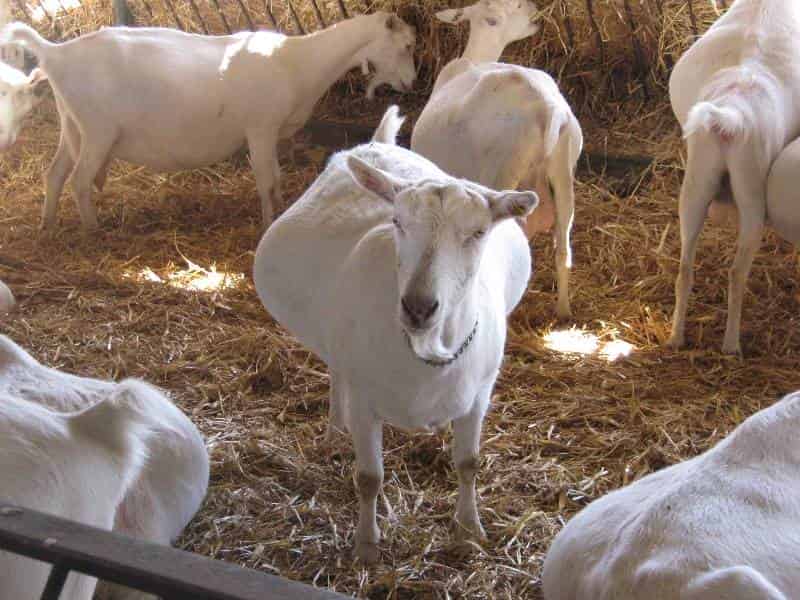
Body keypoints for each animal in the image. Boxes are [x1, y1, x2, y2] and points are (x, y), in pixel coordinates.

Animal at [0, 14, 415, 229]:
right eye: (407, 46)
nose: (411, 83)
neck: (298, 62)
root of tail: (56, 53)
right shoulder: (260, 128)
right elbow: (266, 179)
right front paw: (268, 221)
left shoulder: (270, 132)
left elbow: (276, 177)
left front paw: (281, 209)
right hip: (99, 130)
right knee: (79, 180)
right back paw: (93, 230)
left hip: (73, 125)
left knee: (54, 174)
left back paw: (48, 225)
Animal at [253, 105, 538, 563]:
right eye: (397, 221)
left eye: (478, 232)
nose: (418, 307)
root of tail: (378, 143)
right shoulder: (365, 401)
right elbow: (369, 477)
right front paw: (367, 545)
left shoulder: (479, 393)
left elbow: (469, 464)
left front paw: (469, 529)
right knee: (336, 373)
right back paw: (335, 432)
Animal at [411, 0, 582, 318]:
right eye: (495, 18)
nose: (535, 13)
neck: (473, 57)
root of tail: (547, 109)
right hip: (564, 174)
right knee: (563, 250)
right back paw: (563, 311)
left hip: (503, 175)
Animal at [667, 0, 800, 353]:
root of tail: (730, 115)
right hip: (752, 194)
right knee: (737, 273)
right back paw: (730, 345)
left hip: (696, 183)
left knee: (684, 268)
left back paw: (675, 337)